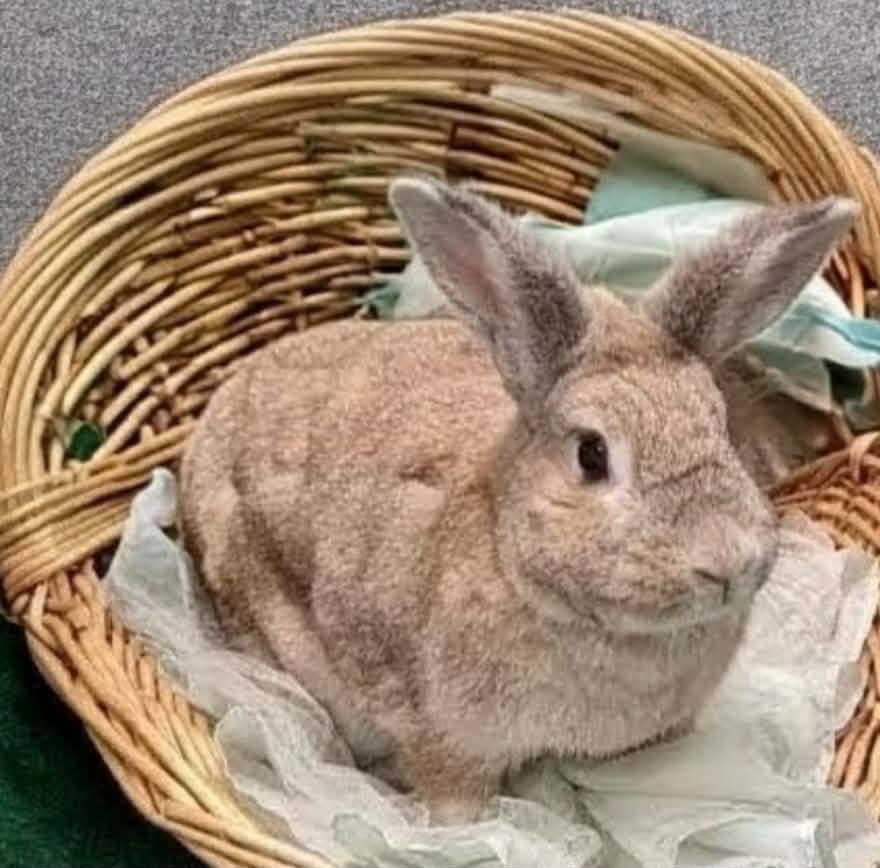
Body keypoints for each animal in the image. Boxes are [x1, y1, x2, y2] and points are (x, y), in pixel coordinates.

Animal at [179, 178, 857, 824]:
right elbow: (454, 798)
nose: (727, 560)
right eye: (591, 454)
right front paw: (462, 835)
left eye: (721, 427)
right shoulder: (442, 736)